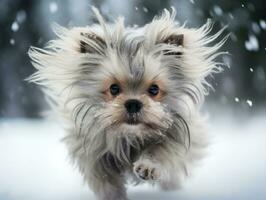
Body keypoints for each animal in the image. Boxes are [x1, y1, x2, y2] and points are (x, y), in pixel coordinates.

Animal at [28, 6, 227, 200]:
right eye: (114, 88)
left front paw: (149, 166)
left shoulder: (176, 137)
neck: (130, 137)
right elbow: (104, 179)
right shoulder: (93, 153)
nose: (133, 103)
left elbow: (161, 152)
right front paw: (113, 195)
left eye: (154, 89)